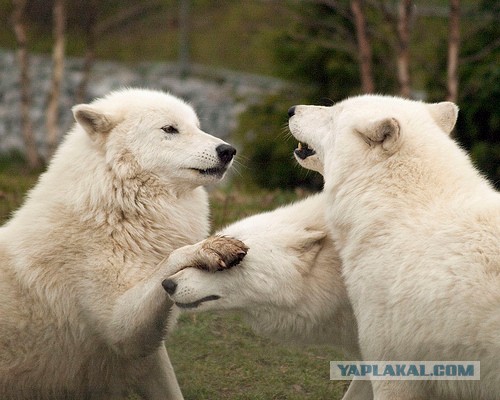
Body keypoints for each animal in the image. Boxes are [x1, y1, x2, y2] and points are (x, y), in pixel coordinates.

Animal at [0, 89, 235, 398]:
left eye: (197, 126)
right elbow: (169, 260)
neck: (114, 214)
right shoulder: (118, 329)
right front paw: (207, 249)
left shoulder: (146, 355)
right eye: (170, 129)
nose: (229, 150)